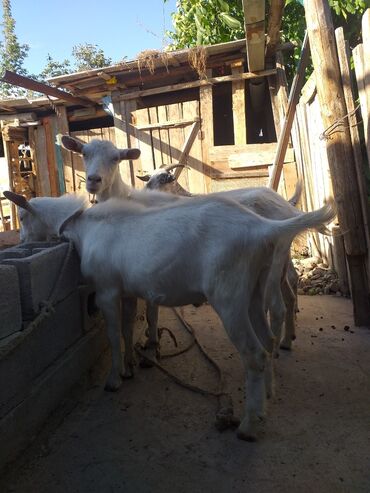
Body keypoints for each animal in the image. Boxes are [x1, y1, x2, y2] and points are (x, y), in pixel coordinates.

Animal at [4, 190, 336, 440]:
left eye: (23, 216)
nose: (20, 243)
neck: (87, 227)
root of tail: (262, 228)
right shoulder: (127, 290)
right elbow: (127, 327)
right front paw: (130, 367)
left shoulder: (107, 289)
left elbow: (112, 334)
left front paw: (114, 379)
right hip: (255, 289)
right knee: (266, 342)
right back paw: (266, 399)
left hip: (229, 296)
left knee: (254, 353)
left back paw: (248, 426)